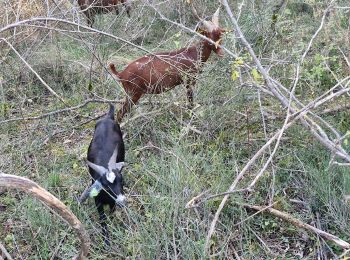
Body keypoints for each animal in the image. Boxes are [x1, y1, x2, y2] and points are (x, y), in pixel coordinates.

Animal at [80, 104, 126, 246]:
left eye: (121, 180)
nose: (122, 201)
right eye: (105, 186)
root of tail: (108, 117)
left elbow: (111, 212)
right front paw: (106, 241)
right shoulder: (98, 202)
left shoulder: (112, 202)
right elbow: (102, 219)